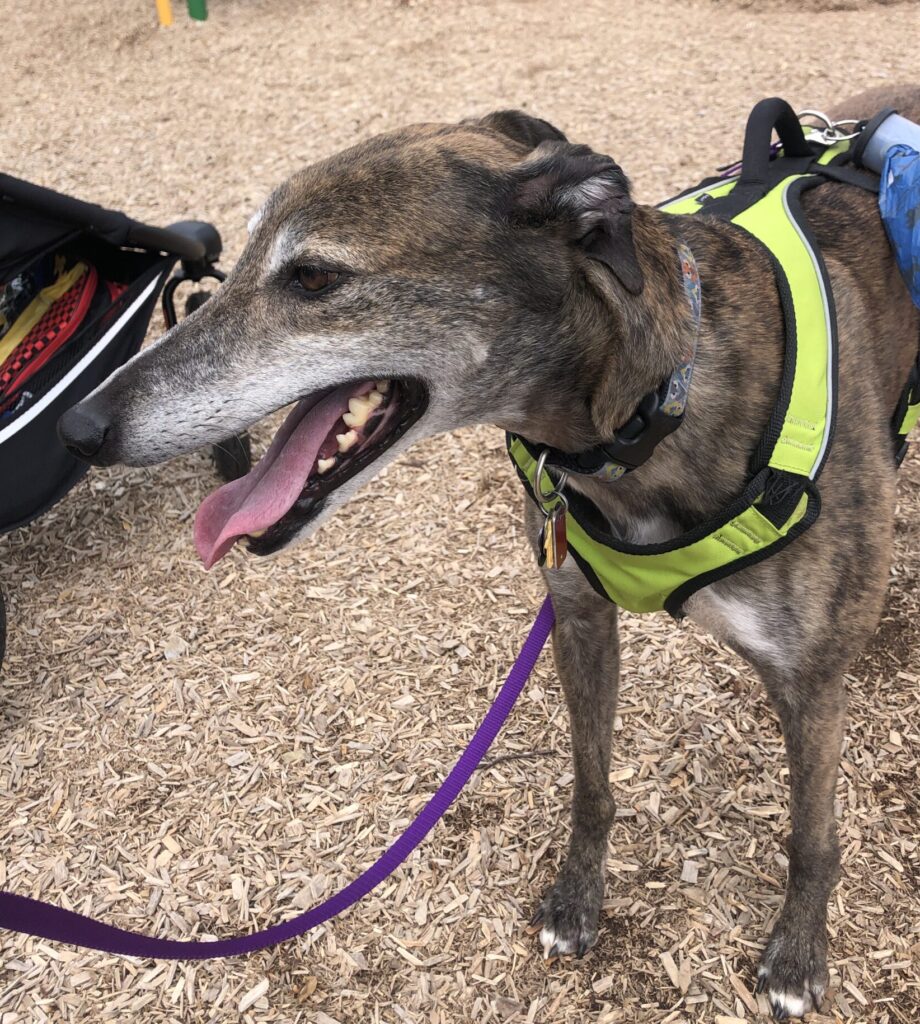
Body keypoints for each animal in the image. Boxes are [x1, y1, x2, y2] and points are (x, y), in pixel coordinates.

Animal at [59, 86, 917, 1015]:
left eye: (315, 277)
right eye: (244, 252)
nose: (80, 427)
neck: (650, 414)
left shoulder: (810, 681)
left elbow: (812, 836)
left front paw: (796, 956)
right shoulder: (579, 616)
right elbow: (590, 785)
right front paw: (578, 900)